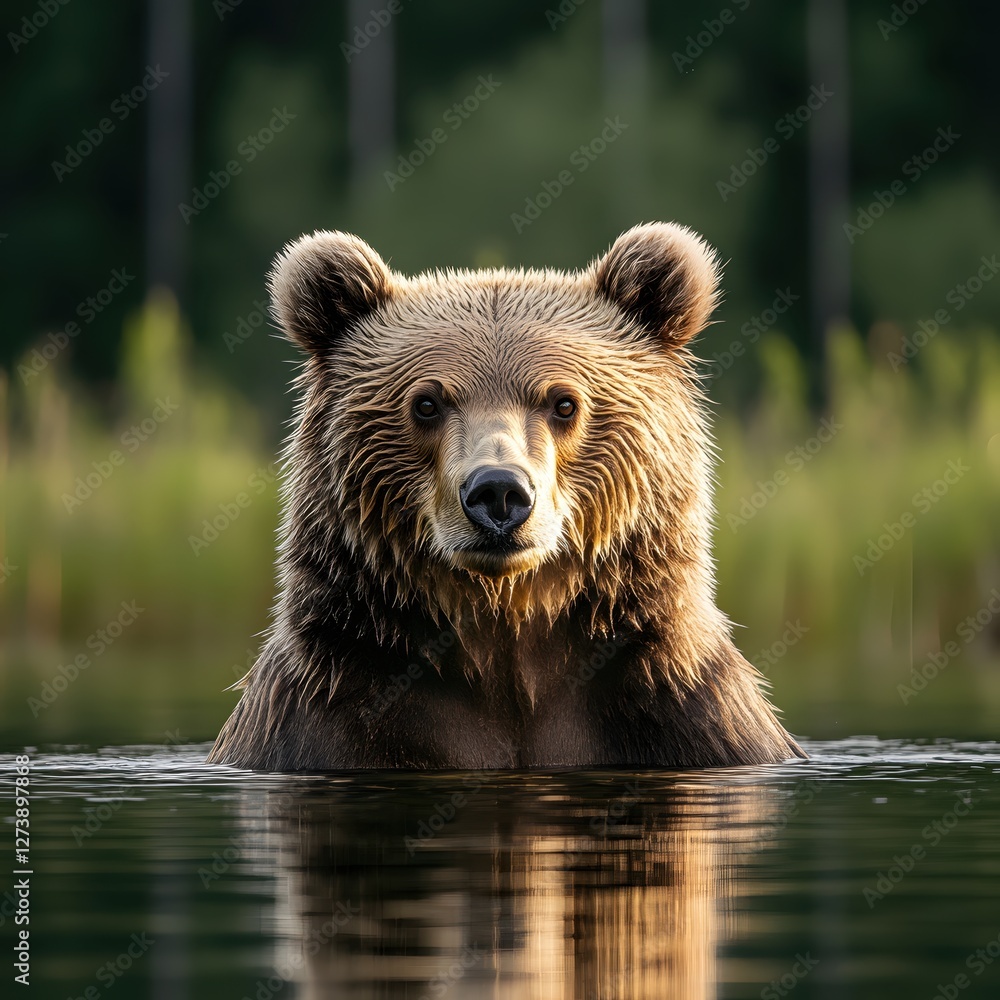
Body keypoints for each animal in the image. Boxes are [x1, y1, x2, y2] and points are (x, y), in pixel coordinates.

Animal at [207, 222, 804, 770]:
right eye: (427, 403)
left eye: (564, 402)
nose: (498, 492)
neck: (506, 632)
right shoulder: (328, 709)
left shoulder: (683, 711)